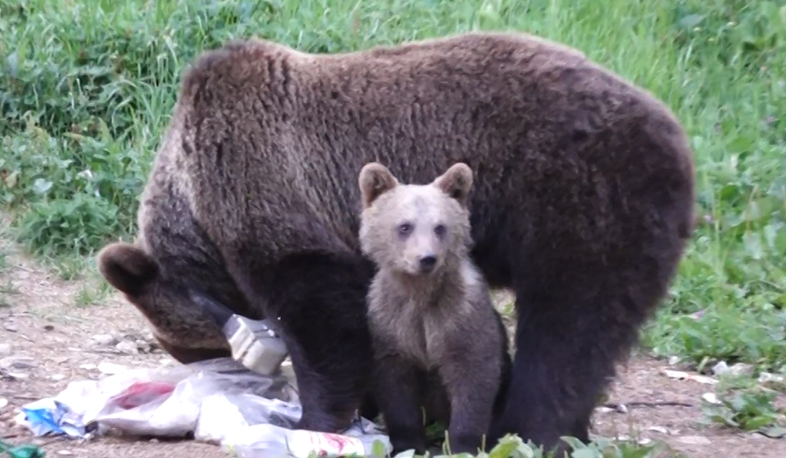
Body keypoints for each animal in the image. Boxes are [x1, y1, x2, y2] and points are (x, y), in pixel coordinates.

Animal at [357, 161, 512, 455]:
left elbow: (474, 379)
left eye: (440, 227)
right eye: (405, 226)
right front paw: (407, 443)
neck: (420, 295)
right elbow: (395, 386)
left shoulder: (461, 318)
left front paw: (463, 444)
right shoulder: (390, 323)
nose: (427, 258)